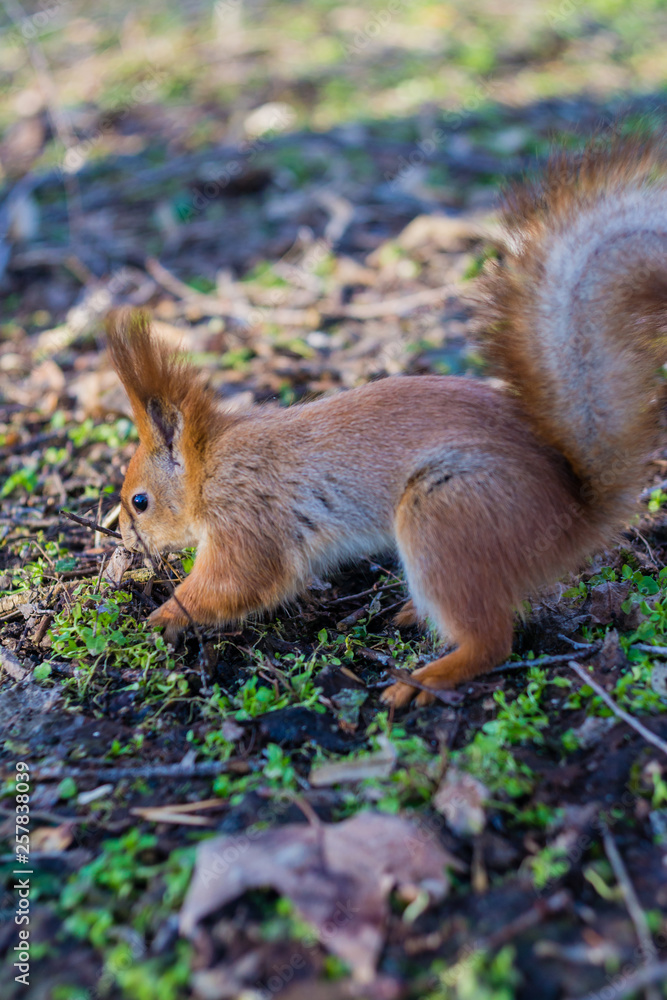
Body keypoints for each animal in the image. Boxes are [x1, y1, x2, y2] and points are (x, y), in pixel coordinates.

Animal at [107, 137, 667, 708]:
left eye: (140, 501)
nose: (124, 545)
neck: (209, 464)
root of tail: (572, 516)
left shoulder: (246, 516)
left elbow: (235, 583)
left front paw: (164, 614)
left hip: (445, 516)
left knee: (491, 641)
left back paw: (424, 680)